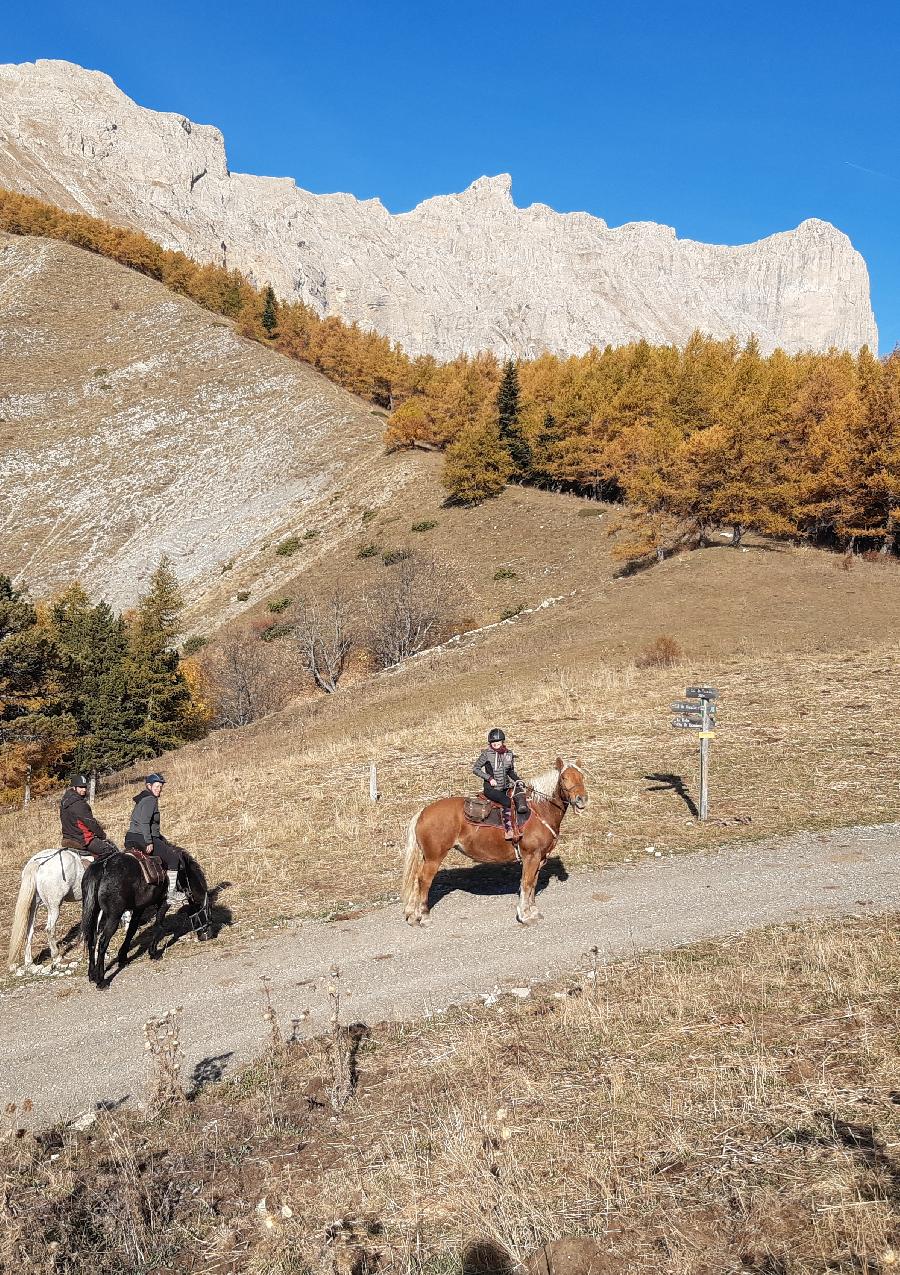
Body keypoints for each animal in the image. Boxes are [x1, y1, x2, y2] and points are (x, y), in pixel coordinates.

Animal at [81, 851, 211, 989]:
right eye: (204, 909)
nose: (208, 935)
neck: (183, 874)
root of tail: (103, 865)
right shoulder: (164, 902)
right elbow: (158, 925)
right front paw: (153, 952)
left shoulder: (139, 908)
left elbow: (132, 930)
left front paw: (123, 956)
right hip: (114, 916)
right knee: (103, 942)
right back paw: (101, 980)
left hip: (94, 912)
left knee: (92, 940)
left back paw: (92, 974)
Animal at [400, 754, 588, 928]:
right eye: (564, 778)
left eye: (581, 776)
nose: (581, 799)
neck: (539, 809)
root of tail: (423, 813)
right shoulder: (531, 856)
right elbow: (526, 884)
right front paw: (524, 916)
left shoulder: (540, 857)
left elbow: (533, 884)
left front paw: (533, 911)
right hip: (434, 858)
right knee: (424, 881)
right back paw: (424, 917)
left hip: (426, 857)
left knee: (416, 880)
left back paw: (413, 916)